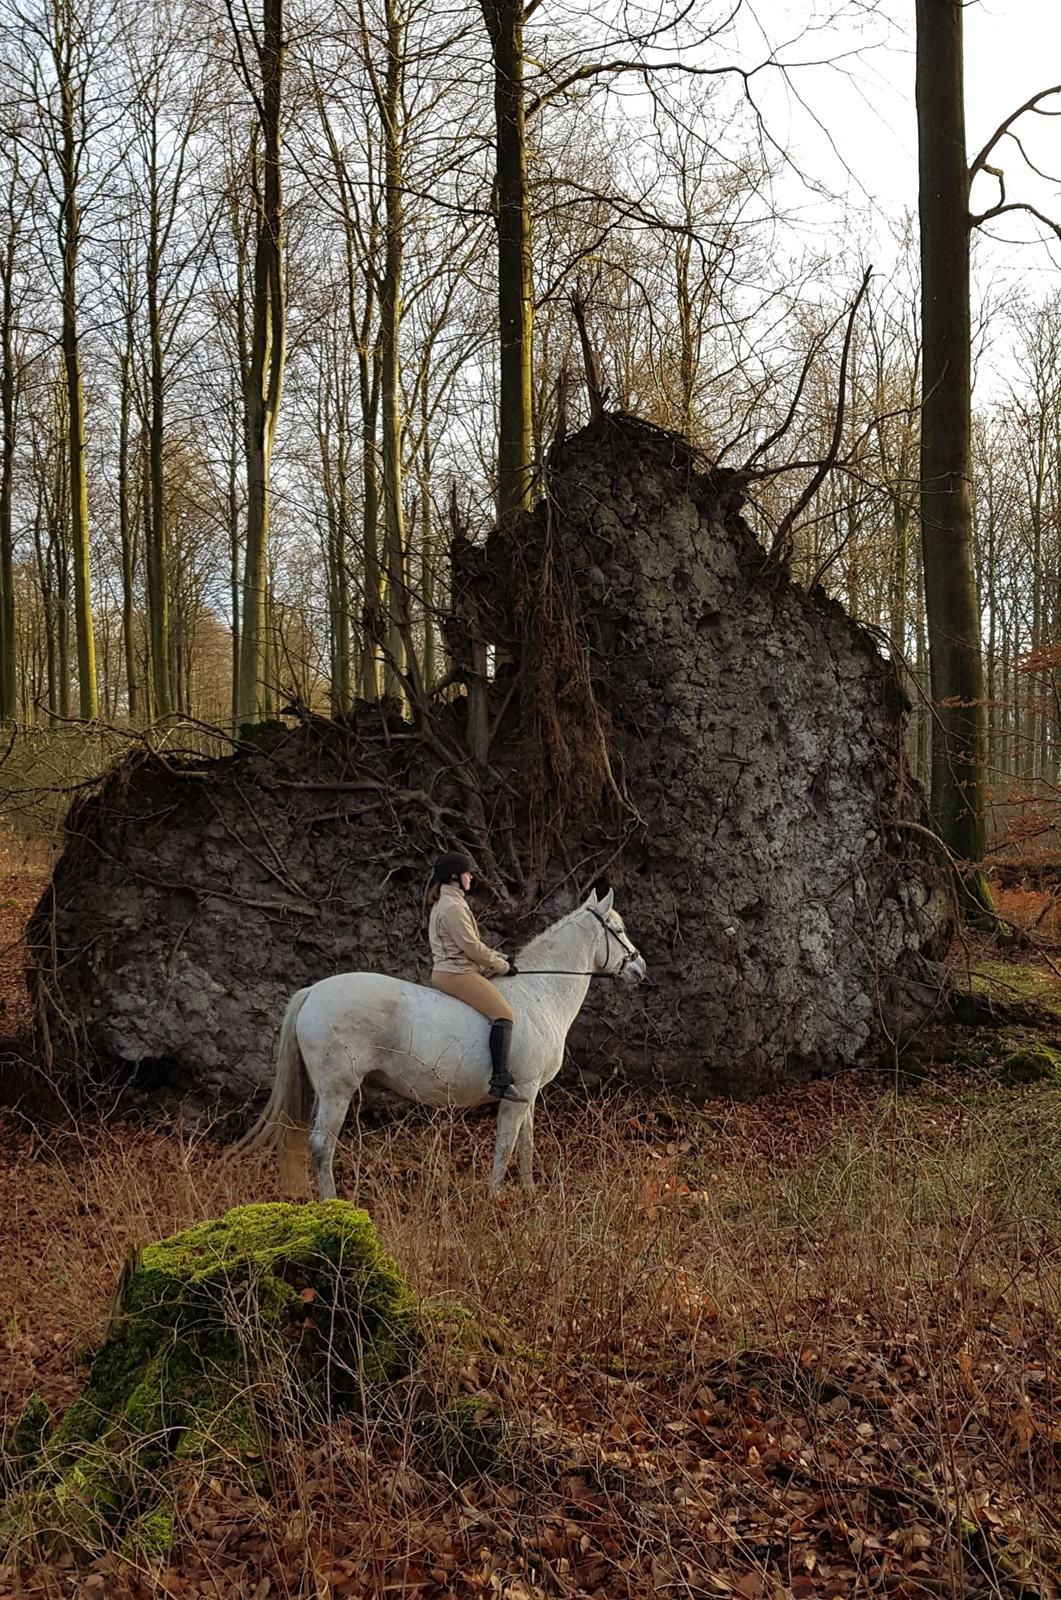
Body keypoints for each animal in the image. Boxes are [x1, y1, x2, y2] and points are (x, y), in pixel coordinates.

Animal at [235, 889, 643, 1203]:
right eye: (619, 929)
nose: (640, 968)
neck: (540, 992)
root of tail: (314, 991)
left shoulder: (527, 1094)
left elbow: (526, 1145)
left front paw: (529, 1194)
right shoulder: (521, 1092)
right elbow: (505, 1145)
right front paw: (497, 1200)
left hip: (327, 1089)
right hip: (338, 1088)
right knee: (322, 1146)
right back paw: (334, 1206)